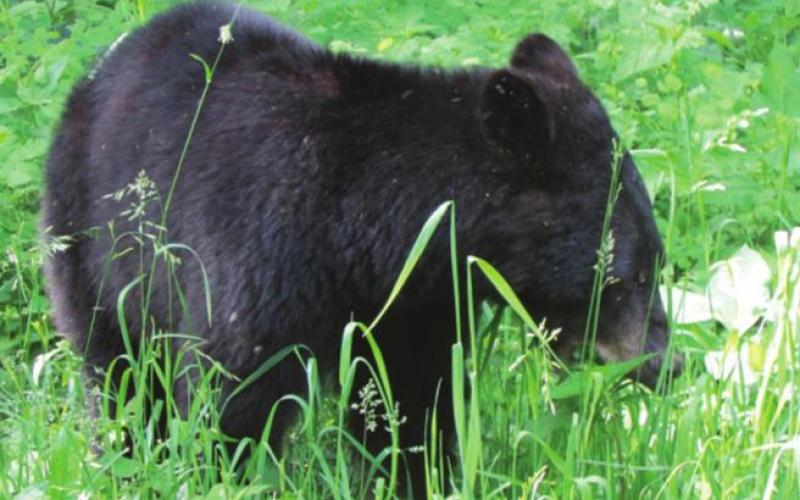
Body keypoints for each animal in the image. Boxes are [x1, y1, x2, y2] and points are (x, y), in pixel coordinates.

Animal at [41, 1, 680, 494]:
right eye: (628, 274)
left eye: (654, 260)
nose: (667, 362)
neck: (362, 230)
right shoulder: (257, 253)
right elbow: (233, 394)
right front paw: (216, 475)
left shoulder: (413, 305)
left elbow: (409, 407)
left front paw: (413, 478)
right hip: (90, 237)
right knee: (117, 370)